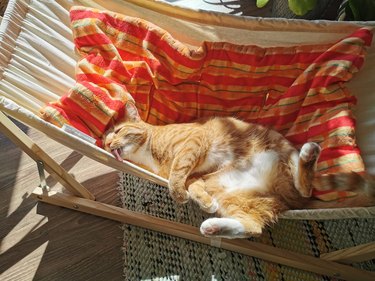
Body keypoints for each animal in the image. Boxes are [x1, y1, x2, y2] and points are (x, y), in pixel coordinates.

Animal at [103, 101, 375, 237]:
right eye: (105, 140)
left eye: (118, 131)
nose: (107, 144)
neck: (149, 153)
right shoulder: (198, 175)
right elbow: (193, 185)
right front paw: (203, 201)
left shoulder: (192, 145)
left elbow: (179, 173)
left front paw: (179, 194)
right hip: (234, 198)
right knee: (252, 227)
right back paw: (213, 227)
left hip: (283, 155)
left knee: (304, 186)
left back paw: (309, 153)